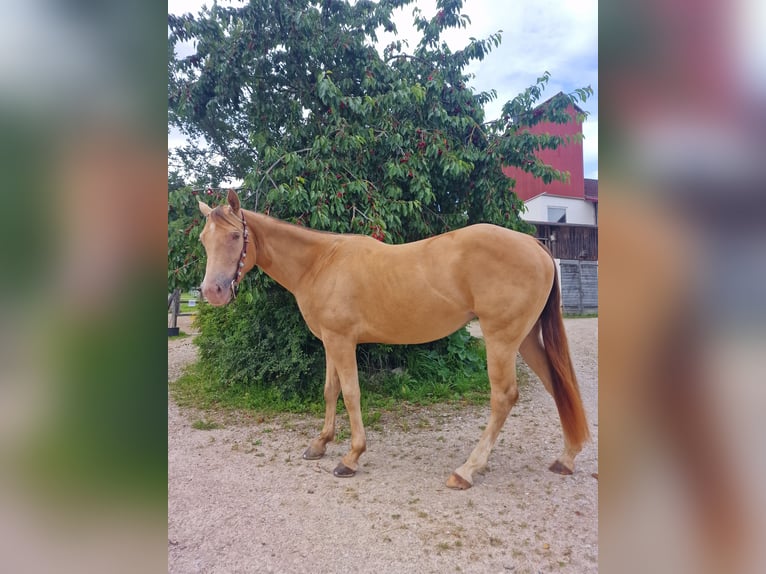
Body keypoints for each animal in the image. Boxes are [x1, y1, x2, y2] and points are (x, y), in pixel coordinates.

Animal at [200, 191, 592, 488]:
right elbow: (330, 391)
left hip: (501, 339)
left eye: (235, 237)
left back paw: (467, 470)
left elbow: (351, 394)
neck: (321, 263)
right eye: (205, 240)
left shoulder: (342, 342)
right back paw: (566, 457)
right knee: (556, 383)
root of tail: (534, 244)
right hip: (524, 339)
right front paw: (320, 443)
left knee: (503, 397)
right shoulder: (329, 342)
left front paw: (351, 457)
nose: (212, 292)